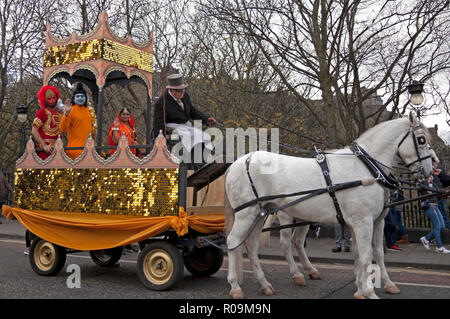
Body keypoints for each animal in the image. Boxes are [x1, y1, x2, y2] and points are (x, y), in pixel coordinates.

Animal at [227, 113, 434, 300]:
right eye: (421, 139)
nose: (429, 171)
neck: (366, 168)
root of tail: (238, 162)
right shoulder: (363, 222)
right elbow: (366, 256)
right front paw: (369, 291)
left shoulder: (373, 221)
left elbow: (373, 253)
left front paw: (366, 287)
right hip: (248, 214)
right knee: (234, 242)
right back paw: (236, 286)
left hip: (260, 214)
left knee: (254, 245)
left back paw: (265, 284)